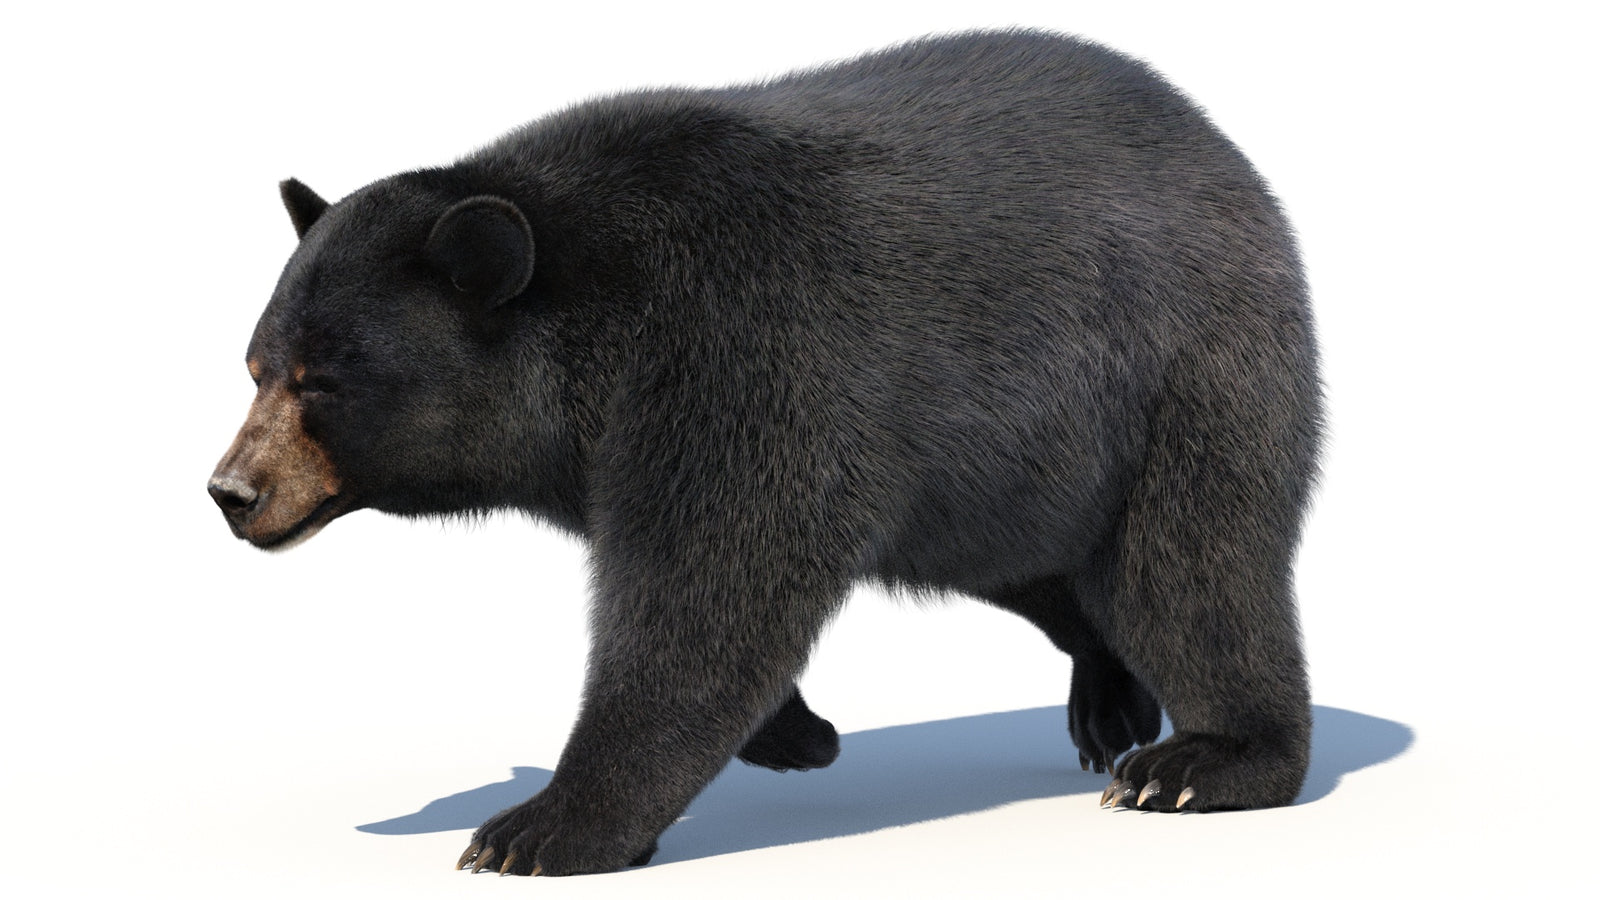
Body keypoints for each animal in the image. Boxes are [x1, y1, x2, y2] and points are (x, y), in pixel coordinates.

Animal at [208, 29, 1321, 877]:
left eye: (323, 381)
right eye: (254, 365)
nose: (232, 491)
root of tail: (1228, 156)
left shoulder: (741, 351)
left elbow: (711, 588)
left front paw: (542, 828)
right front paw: (794, 733)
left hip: (1181, 377)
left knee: (1193, 567)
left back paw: (1202, 762)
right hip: (1003, 477)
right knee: (1051, 574)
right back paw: (1108, 700)